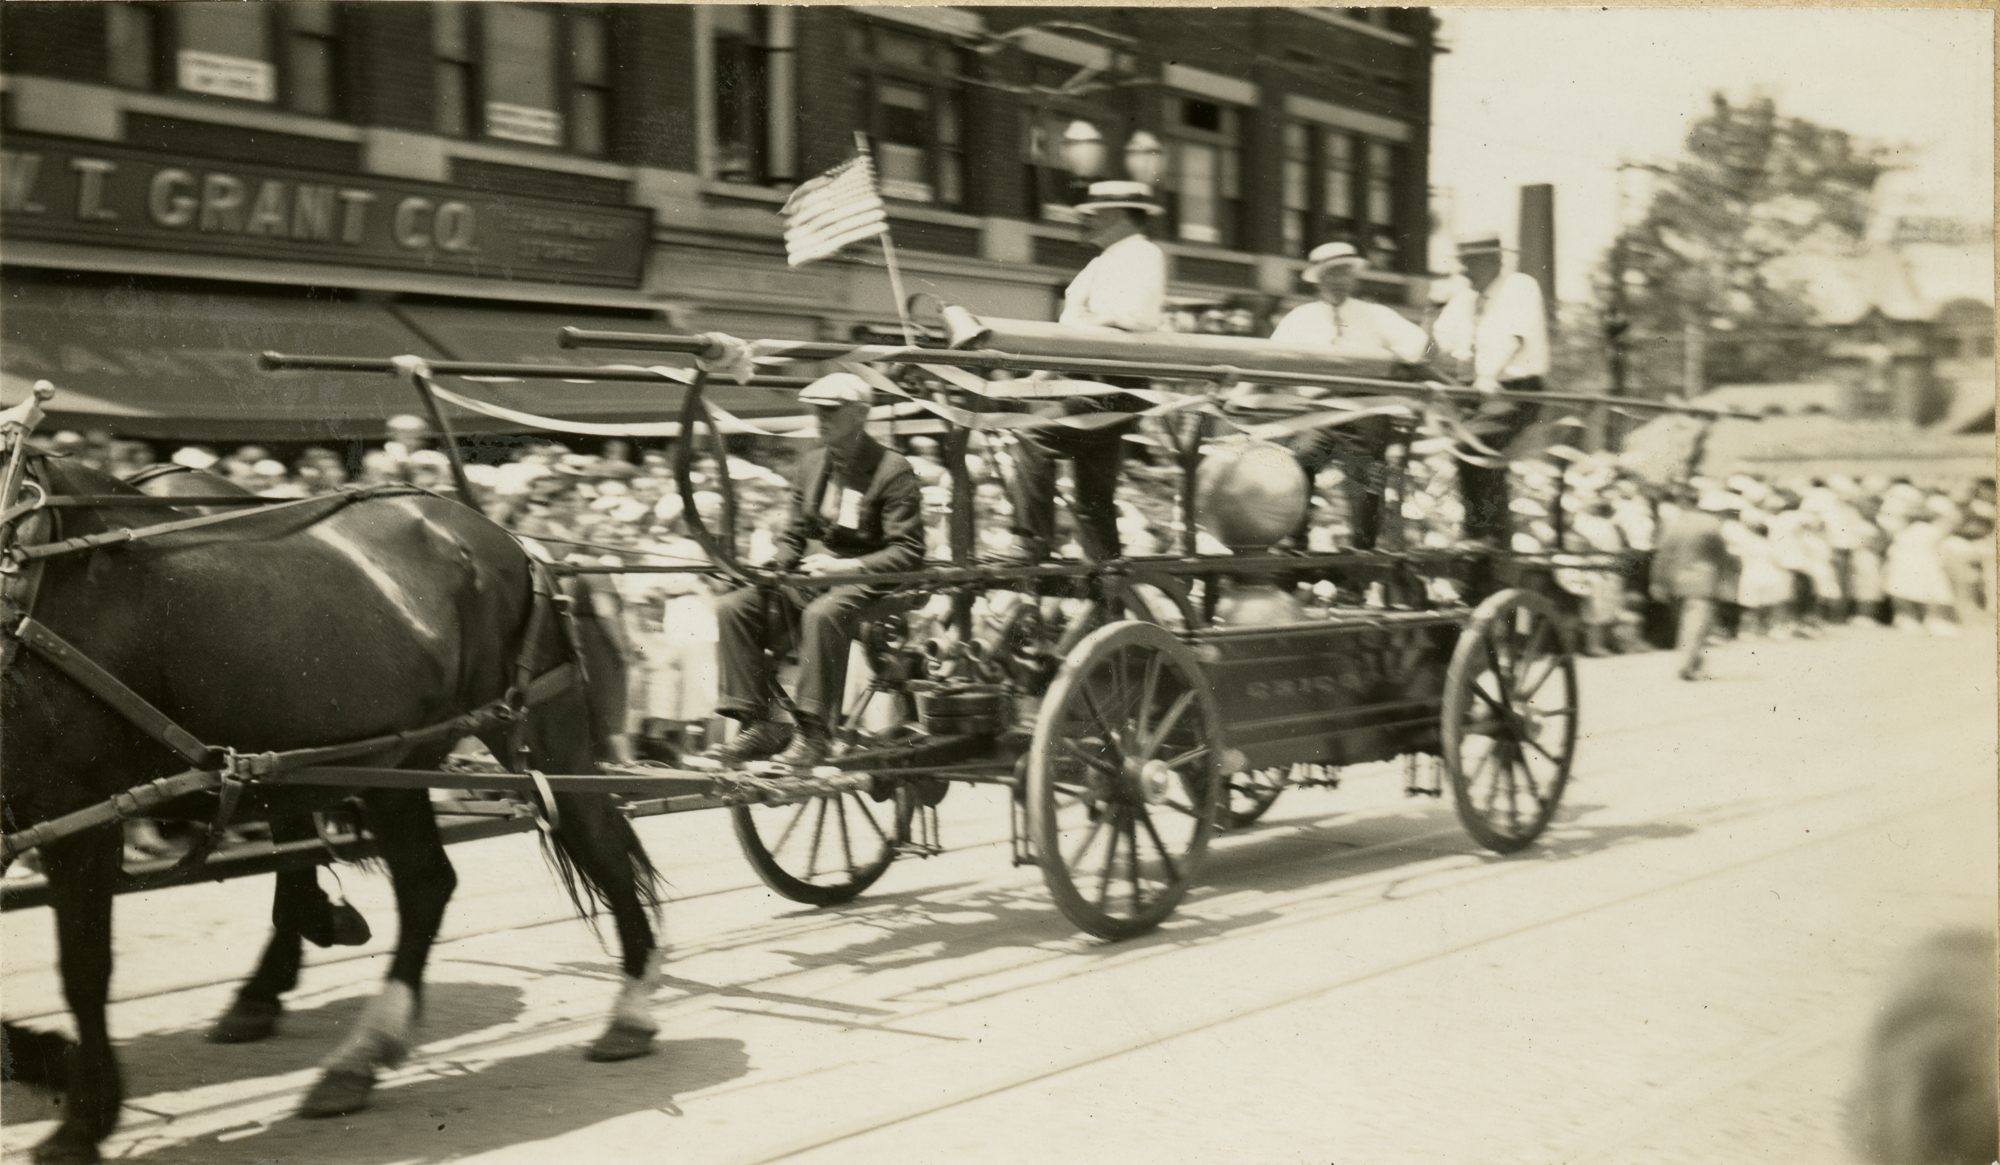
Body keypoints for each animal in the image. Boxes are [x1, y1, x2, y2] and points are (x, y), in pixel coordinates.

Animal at [2, 454, 665, 1165]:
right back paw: (356, 1054)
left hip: (533, 725)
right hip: (393, 763)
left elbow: (84, 969)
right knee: (427, 882)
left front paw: (83, 1115)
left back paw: (630, 1011)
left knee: (598, 841)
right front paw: (54, 1067)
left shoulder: (77, 810)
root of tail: (513, 543)